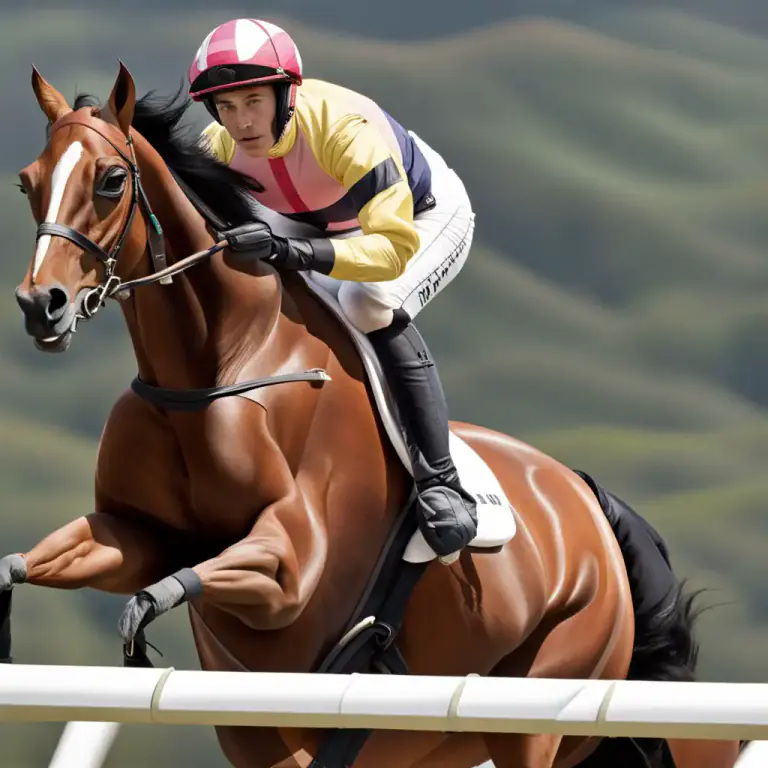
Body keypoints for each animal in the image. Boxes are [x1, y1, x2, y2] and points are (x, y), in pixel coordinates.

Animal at [5, 61, 745, 768]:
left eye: (109, 180)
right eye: (27, 182)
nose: (42, 305)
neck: (220, 362)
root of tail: (587, 500)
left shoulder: (292, 562)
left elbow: (167, 588)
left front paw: (139, 629)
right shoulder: (134, 533)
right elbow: (42, 561)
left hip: (533, 706)